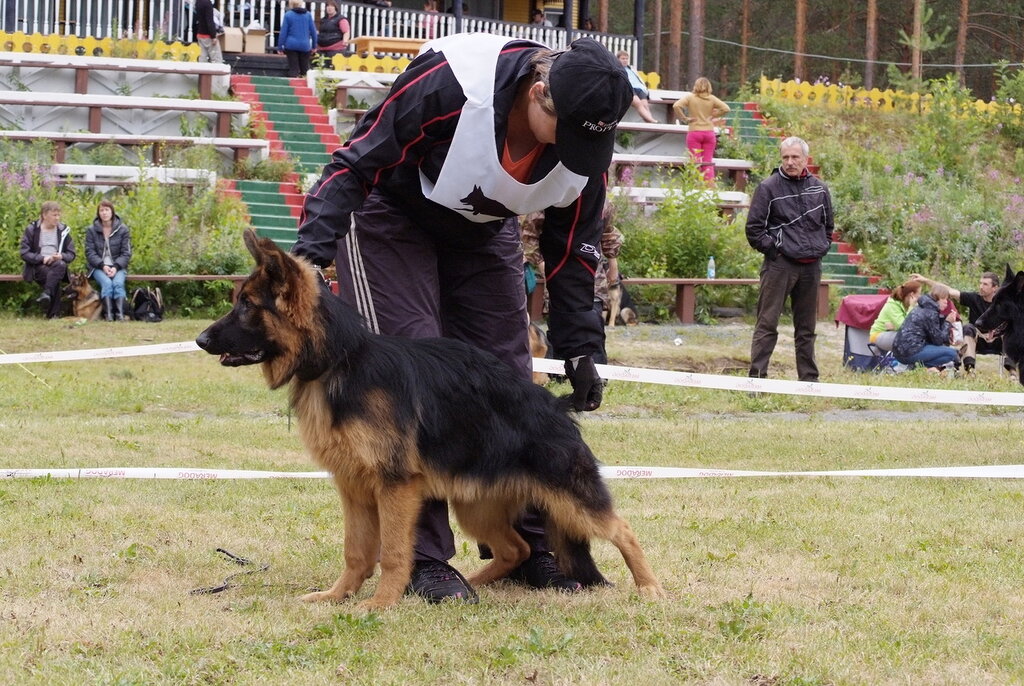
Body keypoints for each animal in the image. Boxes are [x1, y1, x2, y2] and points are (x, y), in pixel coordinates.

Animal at [195, 232, 667, 614]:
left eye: (247, 306)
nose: (200, 340)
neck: (340, 361)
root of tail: (558, 405)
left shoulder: (394, 488)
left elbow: (392, 553)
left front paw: (381, 603)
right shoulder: (354, 489)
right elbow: (356, 552)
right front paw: (338, 596)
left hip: (570, 500)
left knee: (622, 530)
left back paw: (650, 588)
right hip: (475, 506)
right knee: (516, 547)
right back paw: (471, 584)